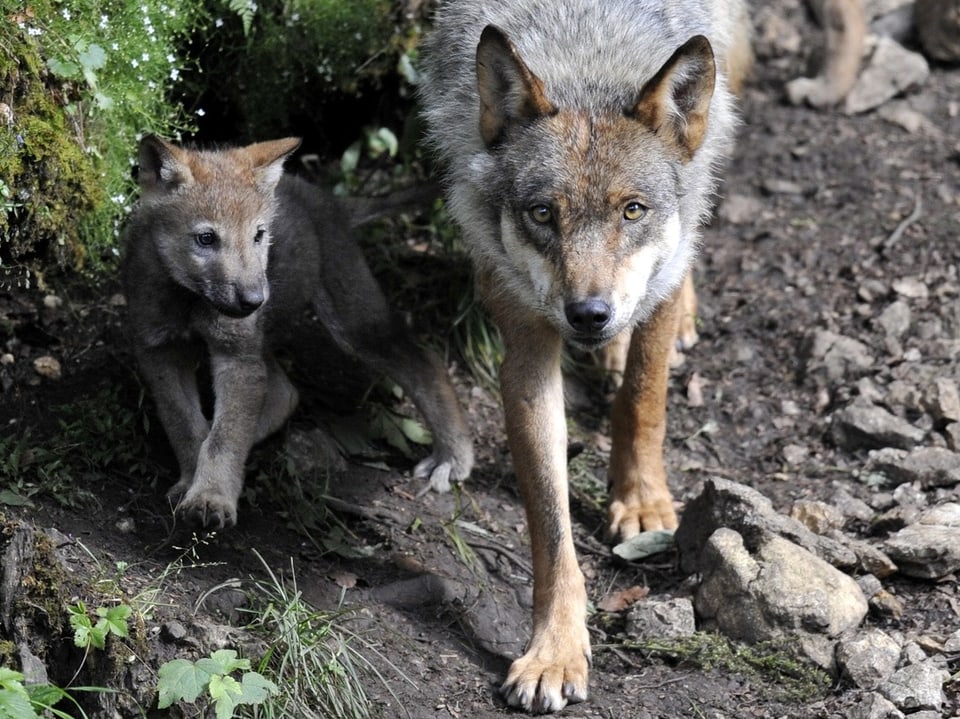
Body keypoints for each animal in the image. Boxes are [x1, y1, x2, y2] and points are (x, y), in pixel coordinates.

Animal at [122, 135, 474, 528]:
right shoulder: (158, 353)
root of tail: (327, 198)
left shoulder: (236, 357)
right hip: (274, 339)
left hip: (354, 324)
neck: (189, 302)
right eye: (206, 238)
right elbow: (186, 427)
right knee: (285, 394)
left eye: (259, 235)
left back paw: (454, 457)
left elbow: (223, 438)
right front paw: (191, 481)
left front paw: (211, 497)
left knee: (426, 363)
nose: (255, 299)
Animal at [420, 0, 752, 708]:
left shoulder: (653, 287)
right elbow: (551, 530)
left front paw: (642, 501)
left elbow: (644, 397)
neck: (587, 58)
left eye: (633, 211)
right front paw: (555, 652)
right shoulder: (525, 344)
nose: (589, 315)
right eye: (544, 214)